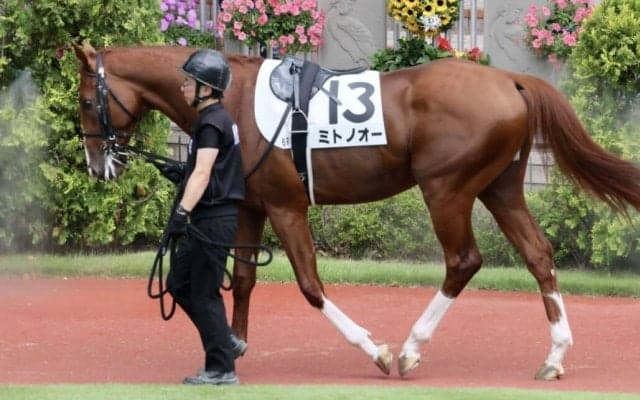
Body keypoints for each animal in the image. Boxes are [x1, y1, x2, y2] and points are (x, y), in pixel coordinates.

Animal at [73, 42, 640, 380]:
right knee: (539, 254)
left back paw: (411, 348)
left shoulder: (286, 206)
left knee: (463, 261)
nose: (98, 165)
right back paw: (554, 355)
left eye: (83, 100)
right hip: (499, 190)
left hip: (447, 190)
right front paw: (231, 346)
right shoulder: (251, 205)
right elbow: (245, 279)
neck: (229, 99)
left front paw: (376, 349)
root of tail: (509, 80)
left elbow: (309, 284)